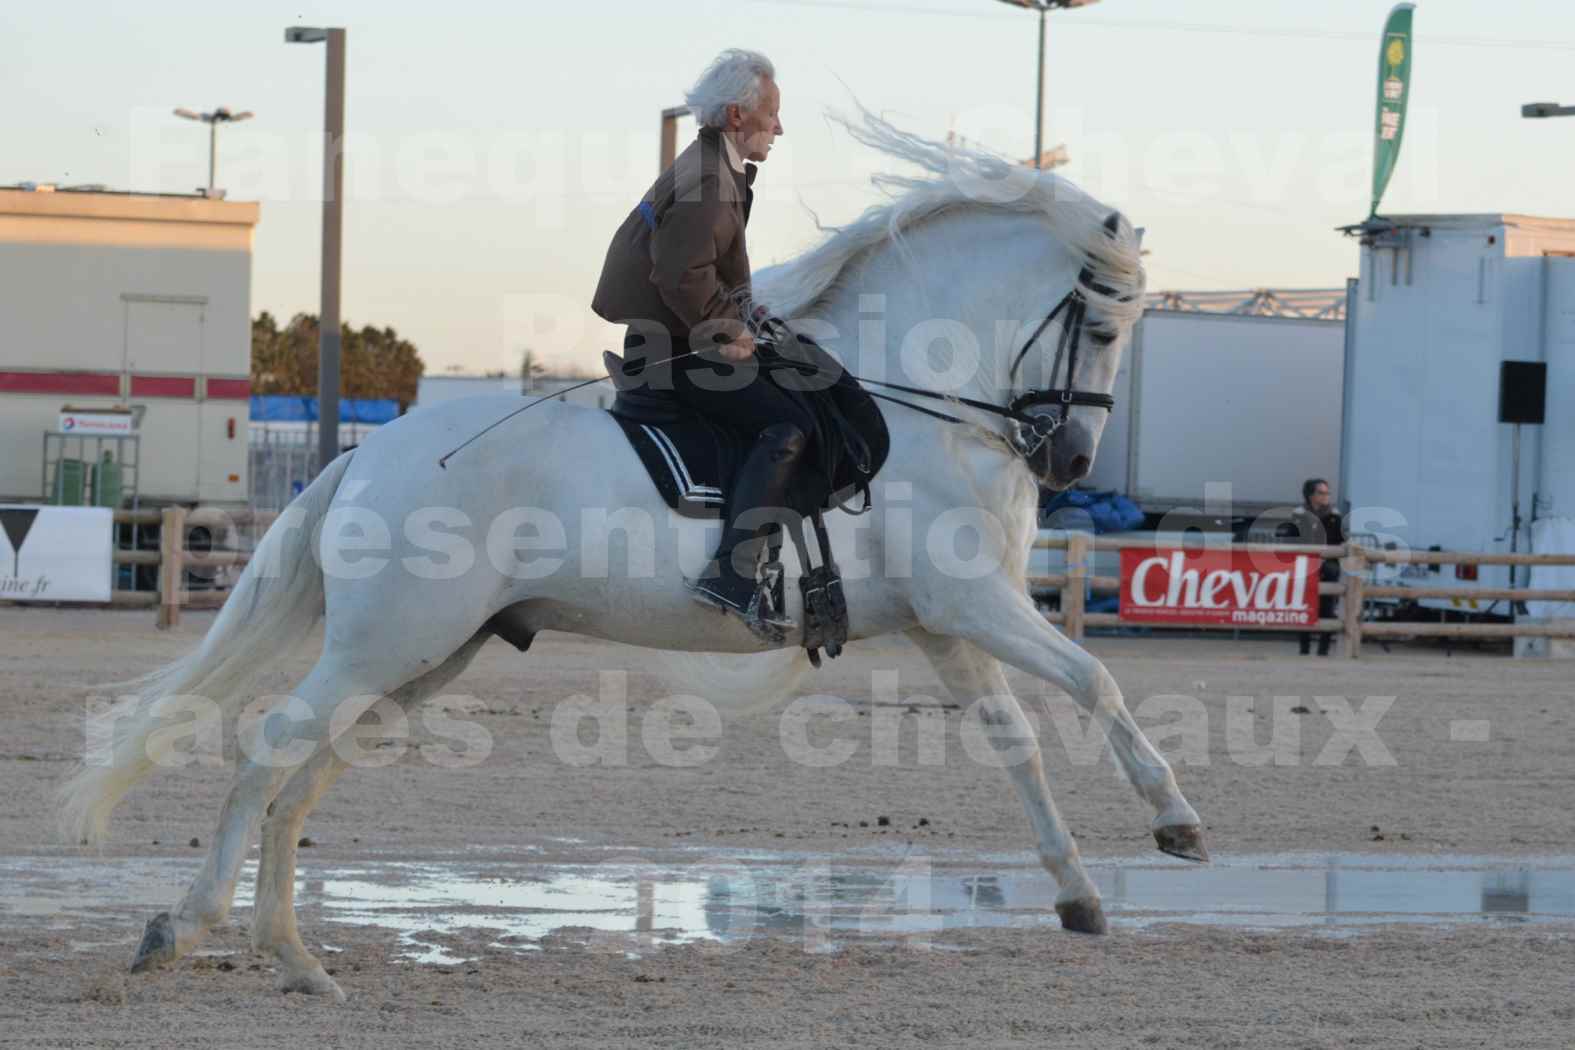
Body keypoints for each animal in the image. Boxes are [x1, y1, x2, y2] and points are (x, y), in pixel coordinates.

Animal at [55, 114, 1197, 1001]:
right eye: (1103, 324)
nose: (1071, 456)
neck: (928, 405)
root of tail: (366, 453)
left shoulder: (947, 625)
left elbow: (1021, 744)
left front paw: (1078, 892)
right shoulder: (977, 605)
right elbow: (1095, 682)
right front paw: (1176, 823)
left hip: (420, 659)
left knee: (300, 785)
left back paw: (294, 959)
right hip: (383, 649)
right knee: (265, 756)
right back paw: (183, 929)